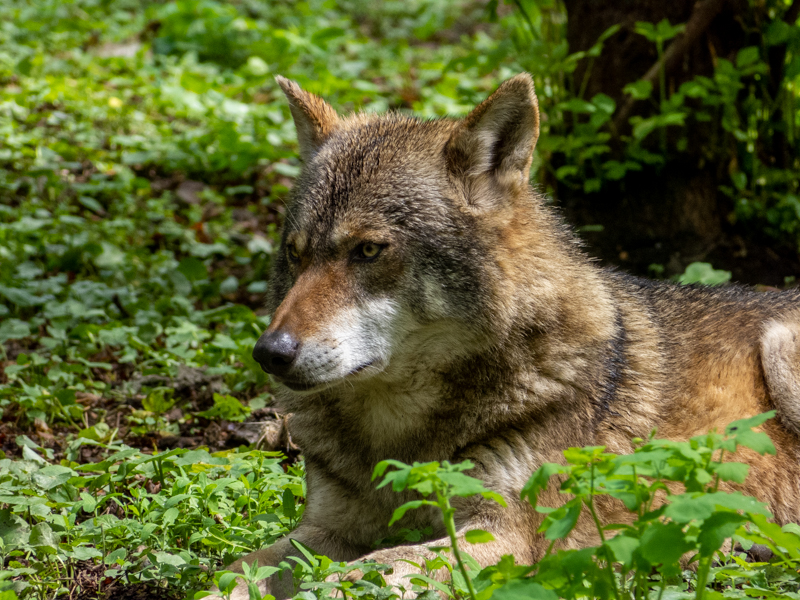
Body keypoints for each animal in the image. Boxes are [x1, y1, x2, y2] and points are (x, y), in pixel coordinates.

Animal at [231, 73, 800, 598]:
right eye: (295, 254)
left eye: (368, 251)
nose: (270, 352)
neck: (401, 438)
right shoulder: (324, 529)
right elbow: (242, 568)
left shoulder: (503, 534)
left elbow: (373, 570)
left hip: (779, 351)